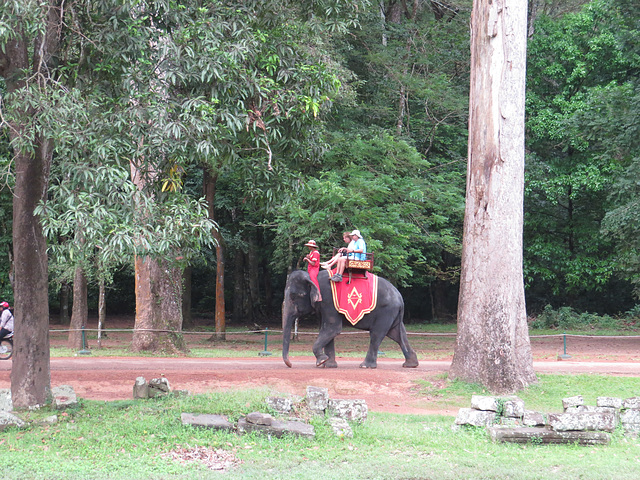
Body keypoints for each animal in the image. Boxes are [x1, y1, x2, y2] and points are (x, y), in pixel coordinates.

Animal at [282, 270, 420, 368]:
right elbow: (326, 329)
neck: (312, 275)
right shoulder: (323, 306)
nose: (290, 364)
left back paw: (365, 366)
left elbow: (333, 328)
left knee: (376, 334)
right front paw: (328, 365)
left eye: (294, 296)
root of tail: (400, 297)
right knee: (397, 334)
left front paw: (321, 361)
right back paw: (410, 364)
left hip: (386, 312)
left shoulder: (328, 301)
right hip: (392, 313)